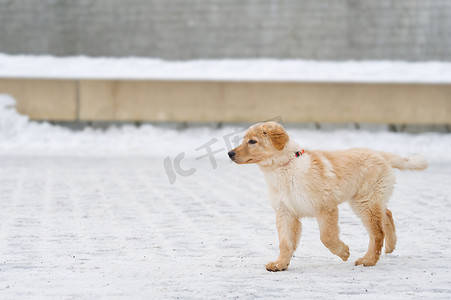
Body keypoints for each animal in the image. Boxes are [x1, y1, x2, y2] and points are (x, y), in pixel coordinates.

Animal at [230, 120, 428, 270]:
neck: (284, 168)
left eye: (252, 141)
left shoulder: (325, 207)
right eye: (243, 140)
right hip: (367, 199)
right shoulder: (285, 212)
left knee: (377, 232)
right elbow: (285, 242)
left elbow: (326, 237)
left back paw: (368, 260)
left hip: (365, 201)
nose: (229, 153)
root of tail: (381, 155)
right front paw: (280, 264)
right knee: (386, 214)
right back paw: (390, 246)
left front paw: (344, 252)